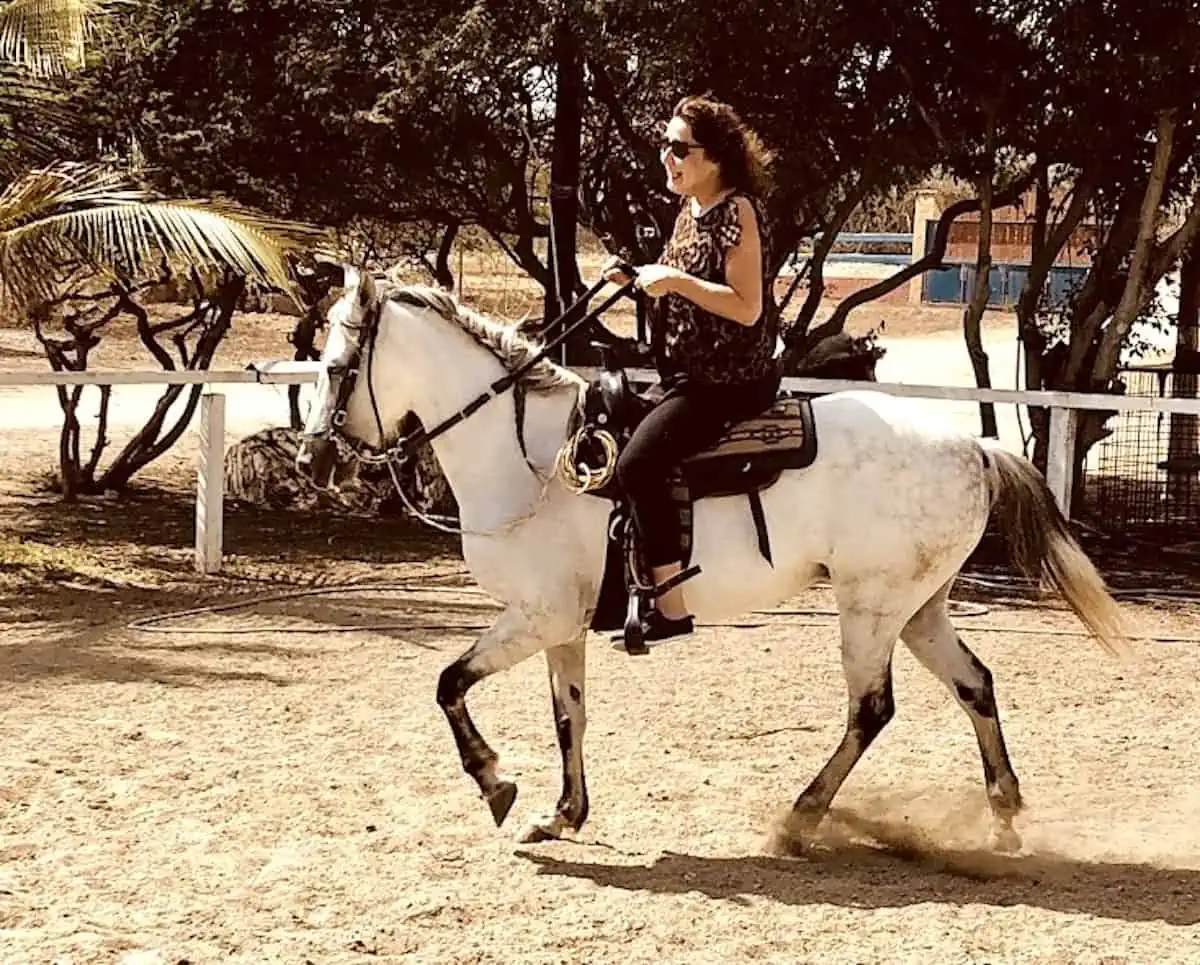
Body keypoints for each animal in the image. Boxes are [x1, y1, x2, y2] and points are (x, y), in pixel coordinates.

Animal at [292, 267, 1123, 849]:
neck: (529, 453)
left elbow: (449, 683)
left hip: (871, 608)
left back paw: (801, 816)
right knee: (974, 684)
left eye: (337, 366)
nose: (312, 461)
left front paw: (496, 782)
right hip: (919, 607)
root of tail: (975, 445)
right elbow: (569, 715)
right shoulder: (562, 624)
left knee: (872, 708)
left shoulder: (536, 614)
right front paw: (563, 815)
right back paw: (1004, 814)